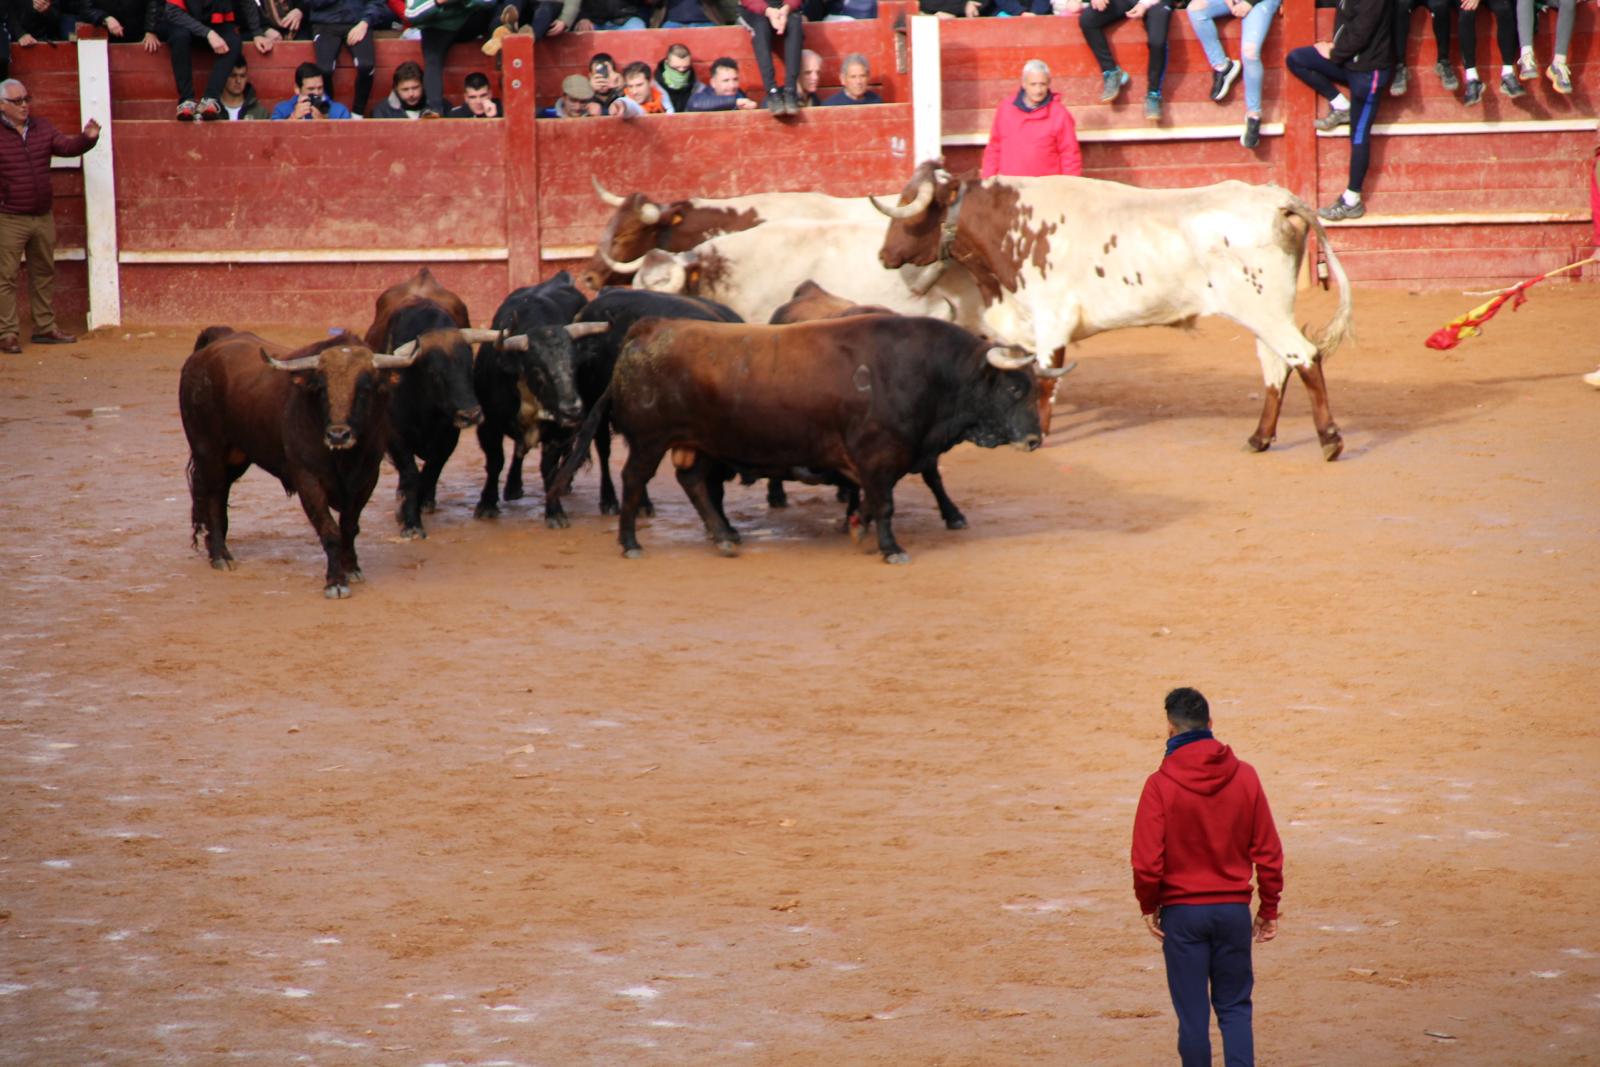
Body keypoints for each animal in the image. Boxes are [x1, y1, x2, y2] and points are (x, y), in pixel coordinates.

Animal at [180, 329, 419, 598]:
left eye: (365, 388)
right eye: (322, 388)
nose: (338, 435)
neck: (344, 459)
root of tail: (207, 350)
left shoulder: (366, 479)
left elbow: (349, 527)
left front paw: (351, 568)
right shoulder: (308, 480)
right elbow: (329, 530)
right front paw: (335, 582)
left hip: (236, 456)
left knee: (220, 492)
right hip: (208, 450)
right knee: (211, 494)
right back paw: (220, 555)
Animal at [550, 315, 1062, 563]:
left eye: (1036, 388)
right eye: (1014, 388)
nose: (1034, 439)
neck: (929, 374)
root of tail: (648, 329)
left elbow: (874, 501)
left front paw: (860, 531)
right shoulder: (878, 458)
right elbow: (885, 504)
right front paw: (891, 549)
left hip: (701, 444)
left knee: (695, 484)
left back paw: (726, 537)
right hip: (649, 440)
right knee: (634, 482)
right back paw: (630, 542)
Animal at [876, 161, 1350, 454]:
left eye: (909, 212)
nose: (884, 255)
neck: (1013, 228)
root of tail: (1277, 199)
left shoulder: (1052, 322)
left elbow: (1045, 380)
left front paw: (1039, 434)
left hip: (1265, 312)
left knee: (1305, 358)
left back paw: (1329, 439)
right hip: (1262, 314)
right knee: (1276, 369)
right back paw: (1259, 438)